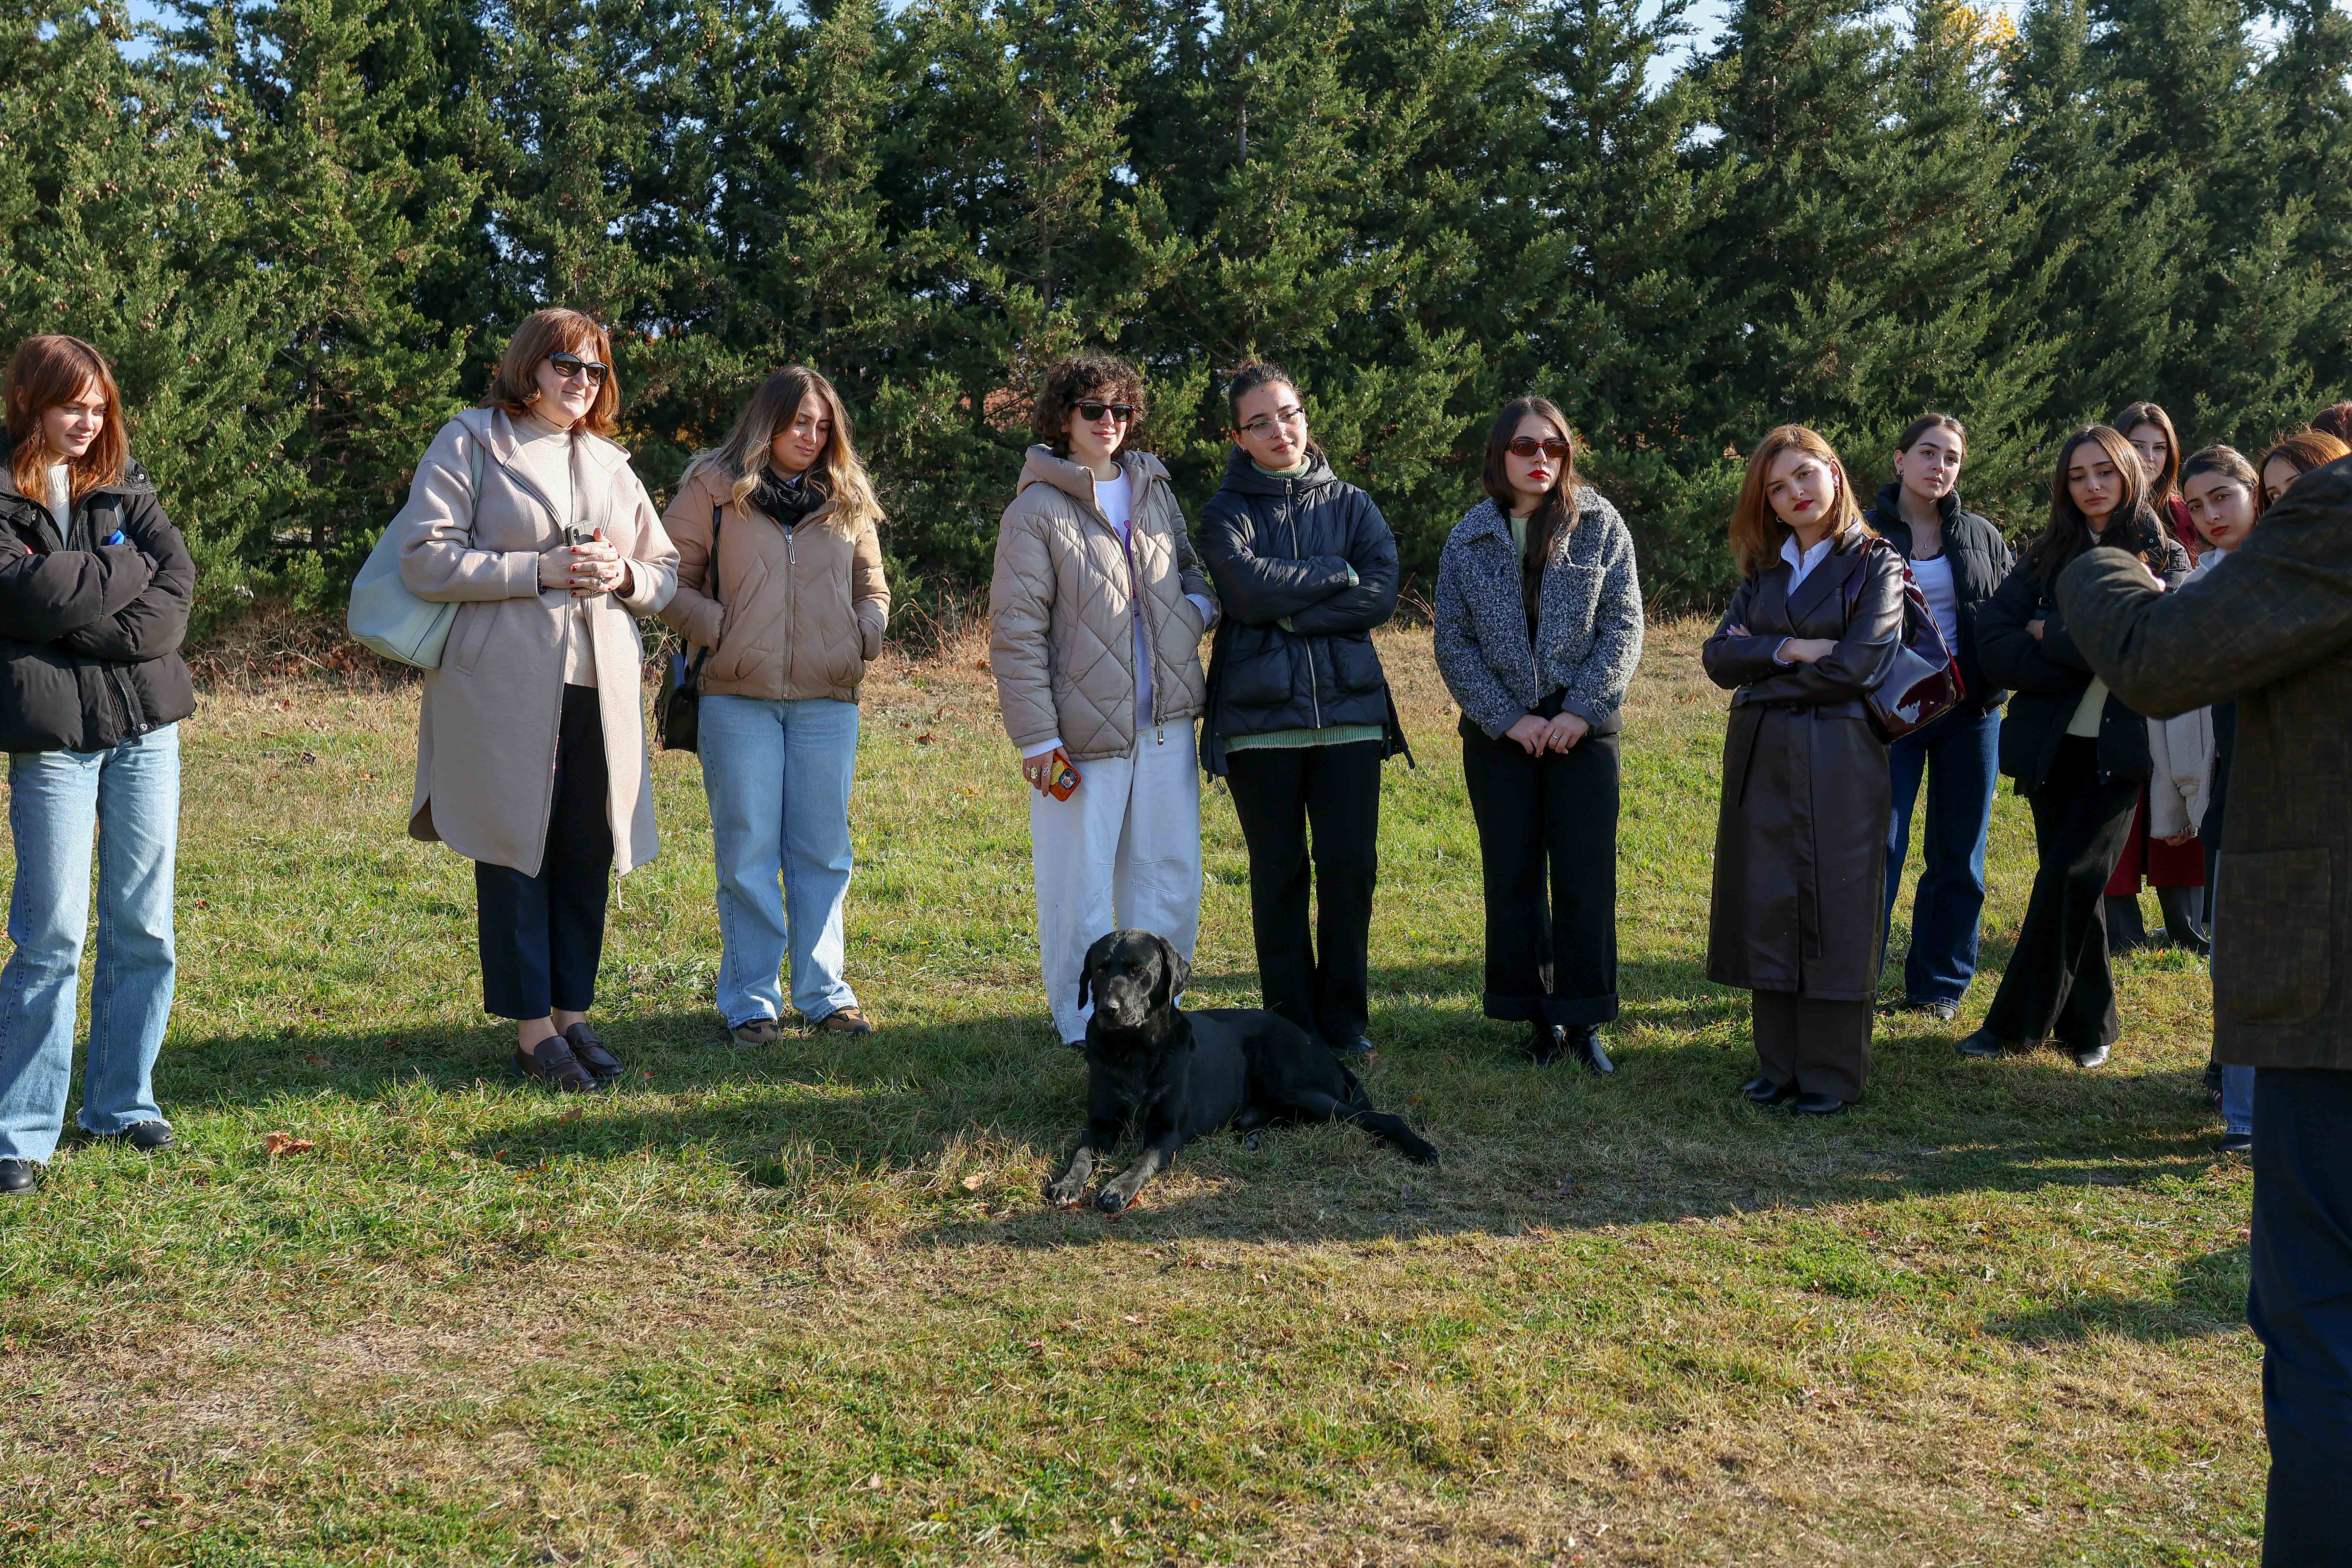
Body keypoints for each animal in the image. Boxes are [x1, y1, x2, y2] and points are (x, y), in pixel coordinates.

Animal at [1044, 929, 1440, 1212]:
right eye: (1099, 969)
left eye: (1137, 970)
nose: (1108, 1009)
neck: (1135, 1052)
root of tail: (1316, 1043)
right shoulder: (1101, 1122)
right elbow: (1082, 1153)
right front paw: (1069, 1182)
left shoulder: (1168, 1131)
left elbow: (1143, 1161)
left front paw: (1118, 1187)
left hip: (1291, 1084)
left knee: (1378, 1117)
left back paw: (1421, 1148)